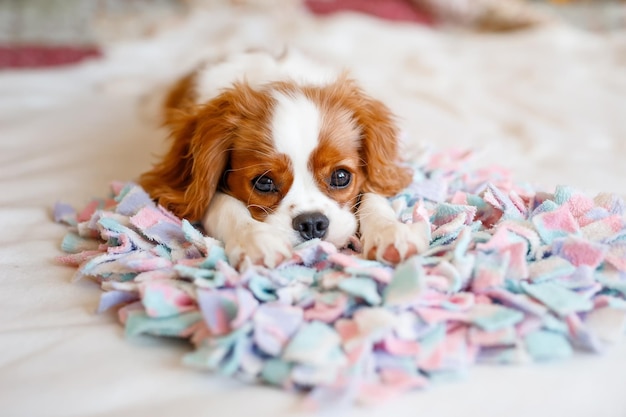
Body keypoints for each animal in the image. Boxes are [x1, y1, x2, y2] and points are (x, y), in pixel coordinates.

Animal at [139, 49, 426, 270]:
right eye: (264, 183)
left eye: (341, 177)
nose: (312, 223)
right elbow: (224, 205)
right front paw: (255, 240)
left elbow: (373, 193)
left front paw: (390, 232)